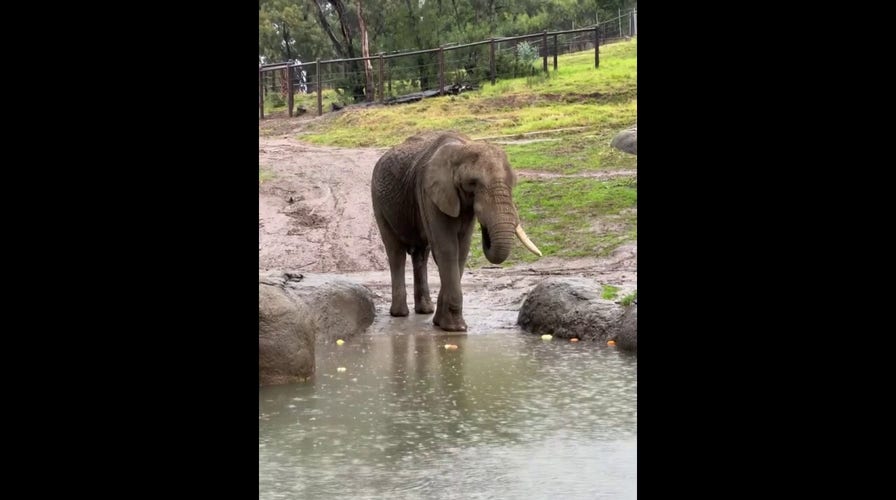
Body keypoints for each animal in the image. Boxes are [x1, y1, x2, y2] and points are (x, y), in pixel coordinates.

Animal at [370, 131, 544, 330]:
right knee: (396, 252)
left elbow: (462, 249)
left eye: (513, 183)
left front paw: (440, 323)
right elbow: (447, 249)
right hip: (378, 201)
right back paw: (399, 314)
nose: (486, 232)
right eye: (473, 183)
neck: (462, 147)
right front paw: (455, 328)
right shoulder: (430, 192)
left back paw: (426, 310)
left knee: (421, 254)